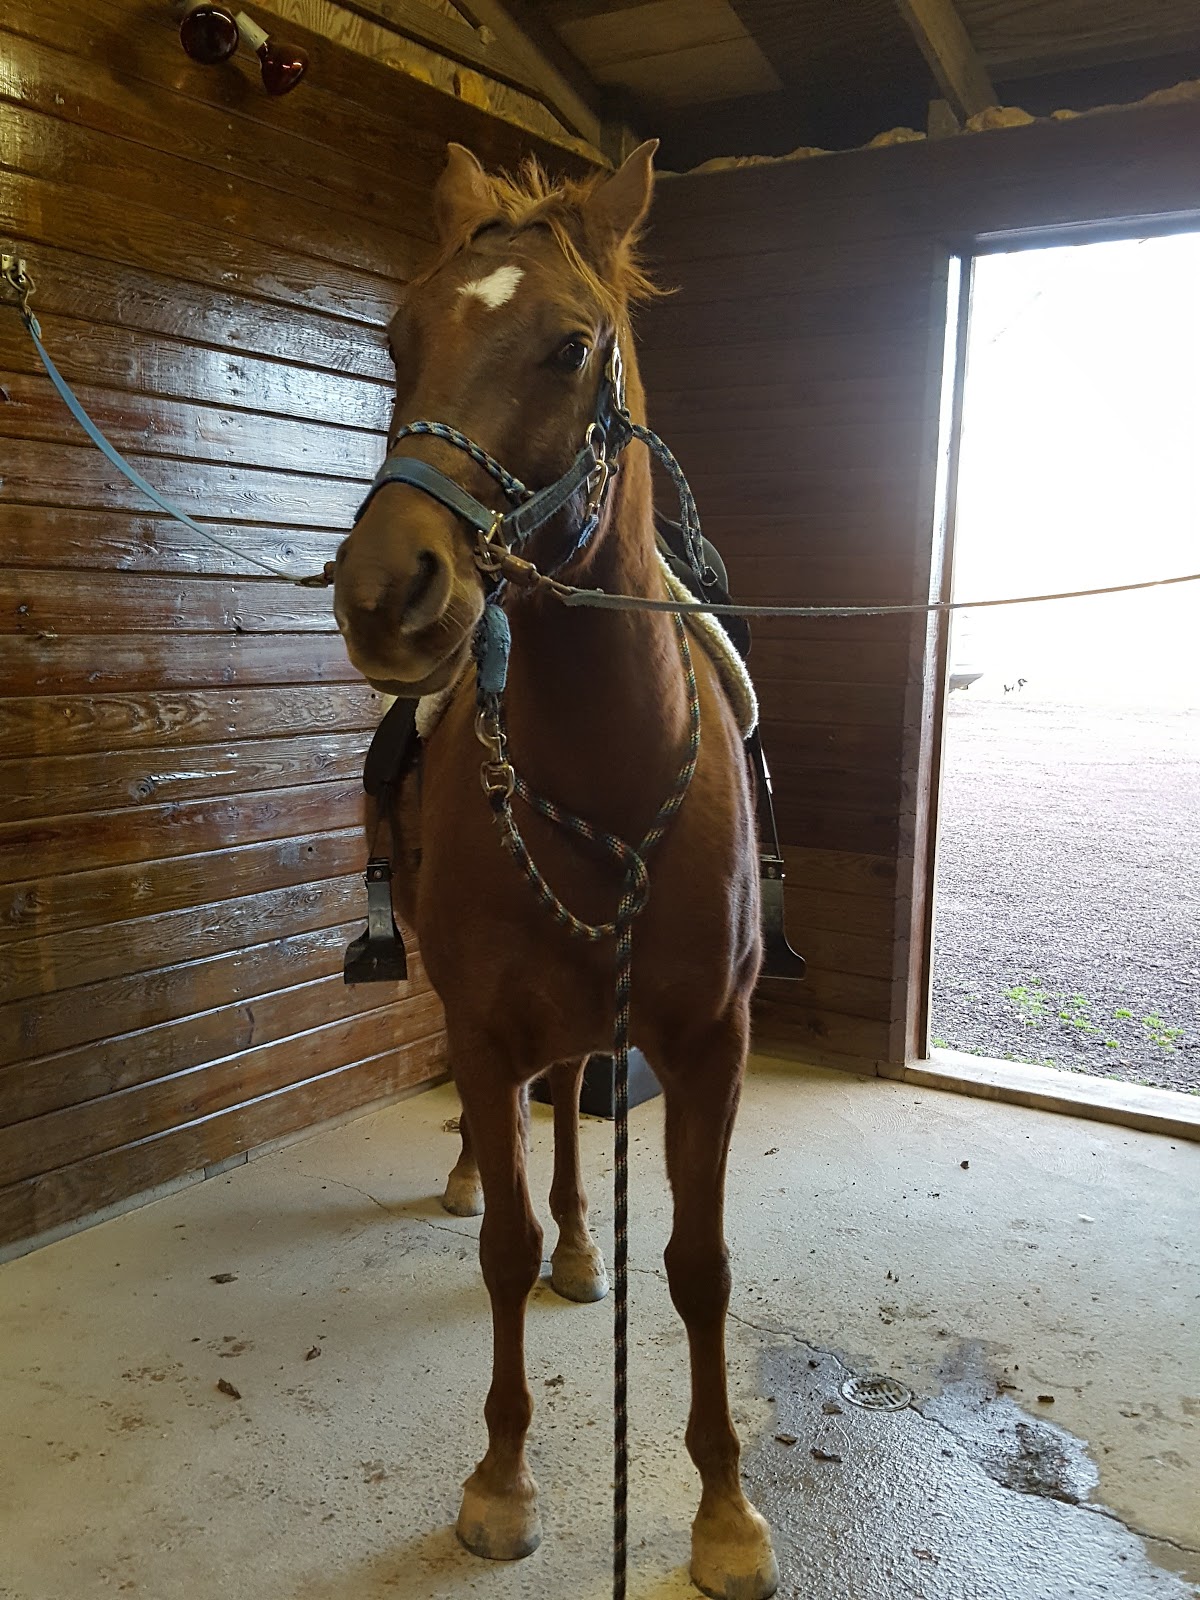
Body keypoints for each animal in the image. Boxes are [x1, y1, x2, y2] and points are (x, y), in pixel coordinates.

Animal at [332, 138, 779, 1600]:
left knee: (578, 1109)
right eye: (398, 337)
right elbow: (501, 1248)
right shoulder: (480, 1021)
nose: (385, 593)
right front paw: (500, 1480)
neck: (607, 763)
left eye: (571, 346)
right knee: (525, 1130)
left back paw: (589, 1244)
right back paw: (488, 1172)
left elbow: (697, 1263)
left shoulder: (710, 1039)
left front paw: (724, 1511)